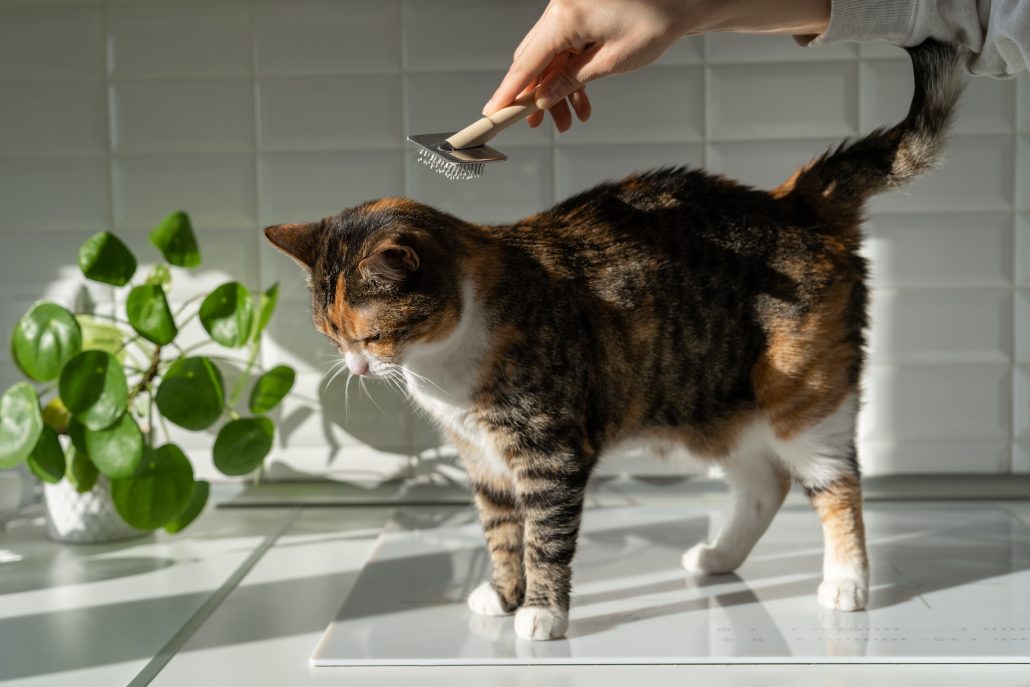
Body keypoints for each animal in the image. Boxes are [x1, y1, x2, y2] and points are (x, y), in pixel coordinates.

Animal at [267, 40, 964, 642]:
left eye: (371, 333)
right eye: (331, 334)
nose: (356, 368)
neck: (442, 365)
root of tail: (793, 202)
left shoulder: (549, 452)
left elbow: (544, 537)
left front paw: (542, 614)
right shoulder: (482, 460)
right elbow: (502, 532)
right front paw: (504, 595)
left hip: (804, 397)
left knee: (836, 481)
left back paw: (847, 582)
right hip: (712, 405)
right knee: (766, 483)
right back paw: (718, 557)